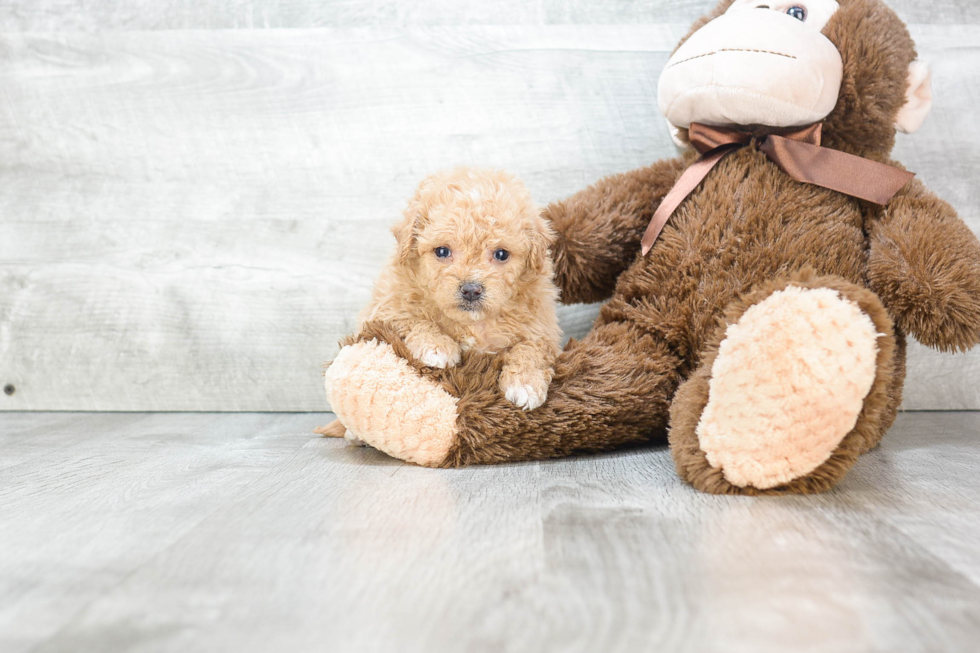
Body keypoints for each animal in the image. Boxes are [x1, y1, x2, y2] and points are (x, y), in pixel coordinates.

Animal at [318, 166, 564, 436]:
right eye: (442, 251)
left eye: (501, 254)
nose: (471, 290)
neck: (472, 323)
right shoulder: (385, 308)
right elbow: (412, 319)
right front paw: (437, 347)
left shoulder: (543, 329)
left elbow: (531, 348)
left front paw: (524, 383)